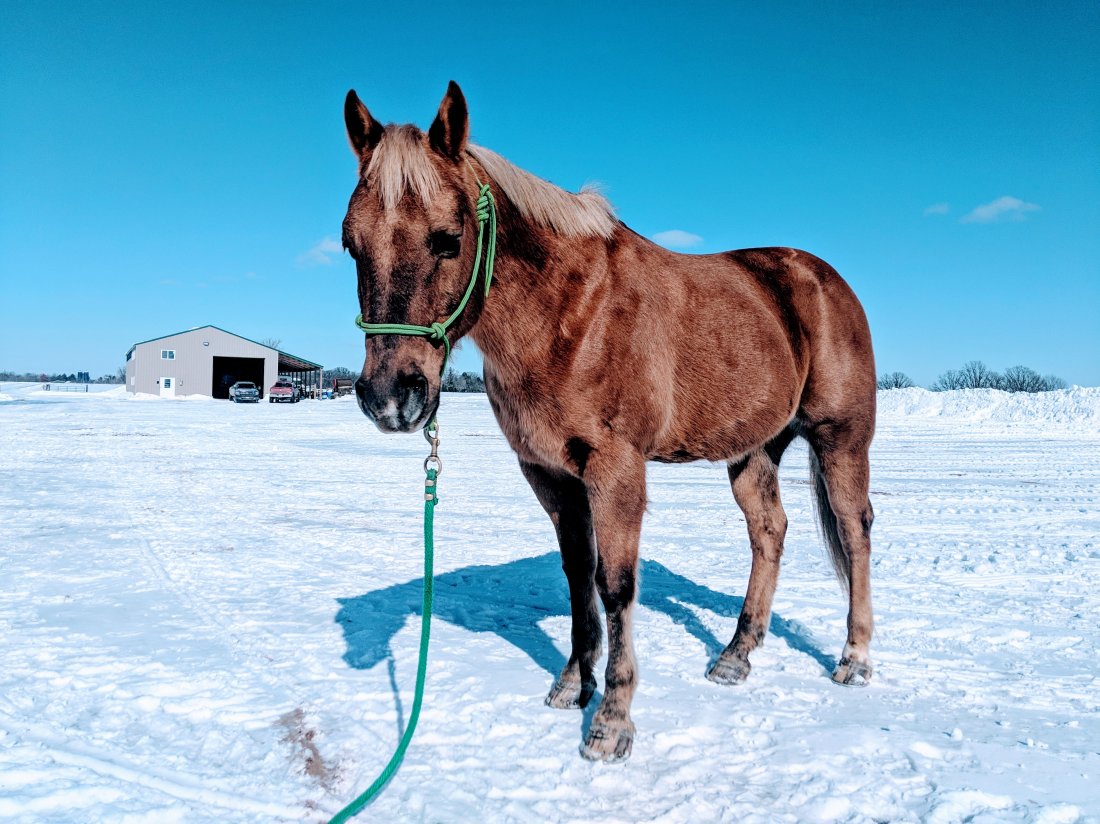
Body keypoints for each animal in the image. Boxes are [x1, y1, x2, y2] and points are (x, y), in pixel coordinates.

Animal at [341, 81, 875, 756]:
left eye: (447, 239)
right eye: (350, 244)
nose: (391, 397)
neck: (570, 314)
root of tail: (825, 280)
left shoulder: (617, 471)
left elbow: (616, 585)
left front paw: (612, 722)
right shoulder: (549, 473)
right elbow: (577, 576)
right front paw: (574, 683)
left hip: (841, 441)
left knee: (855, 533)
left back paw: (854, 658)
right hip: (754, 451)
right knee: (769, 531)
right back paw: (736, 655)